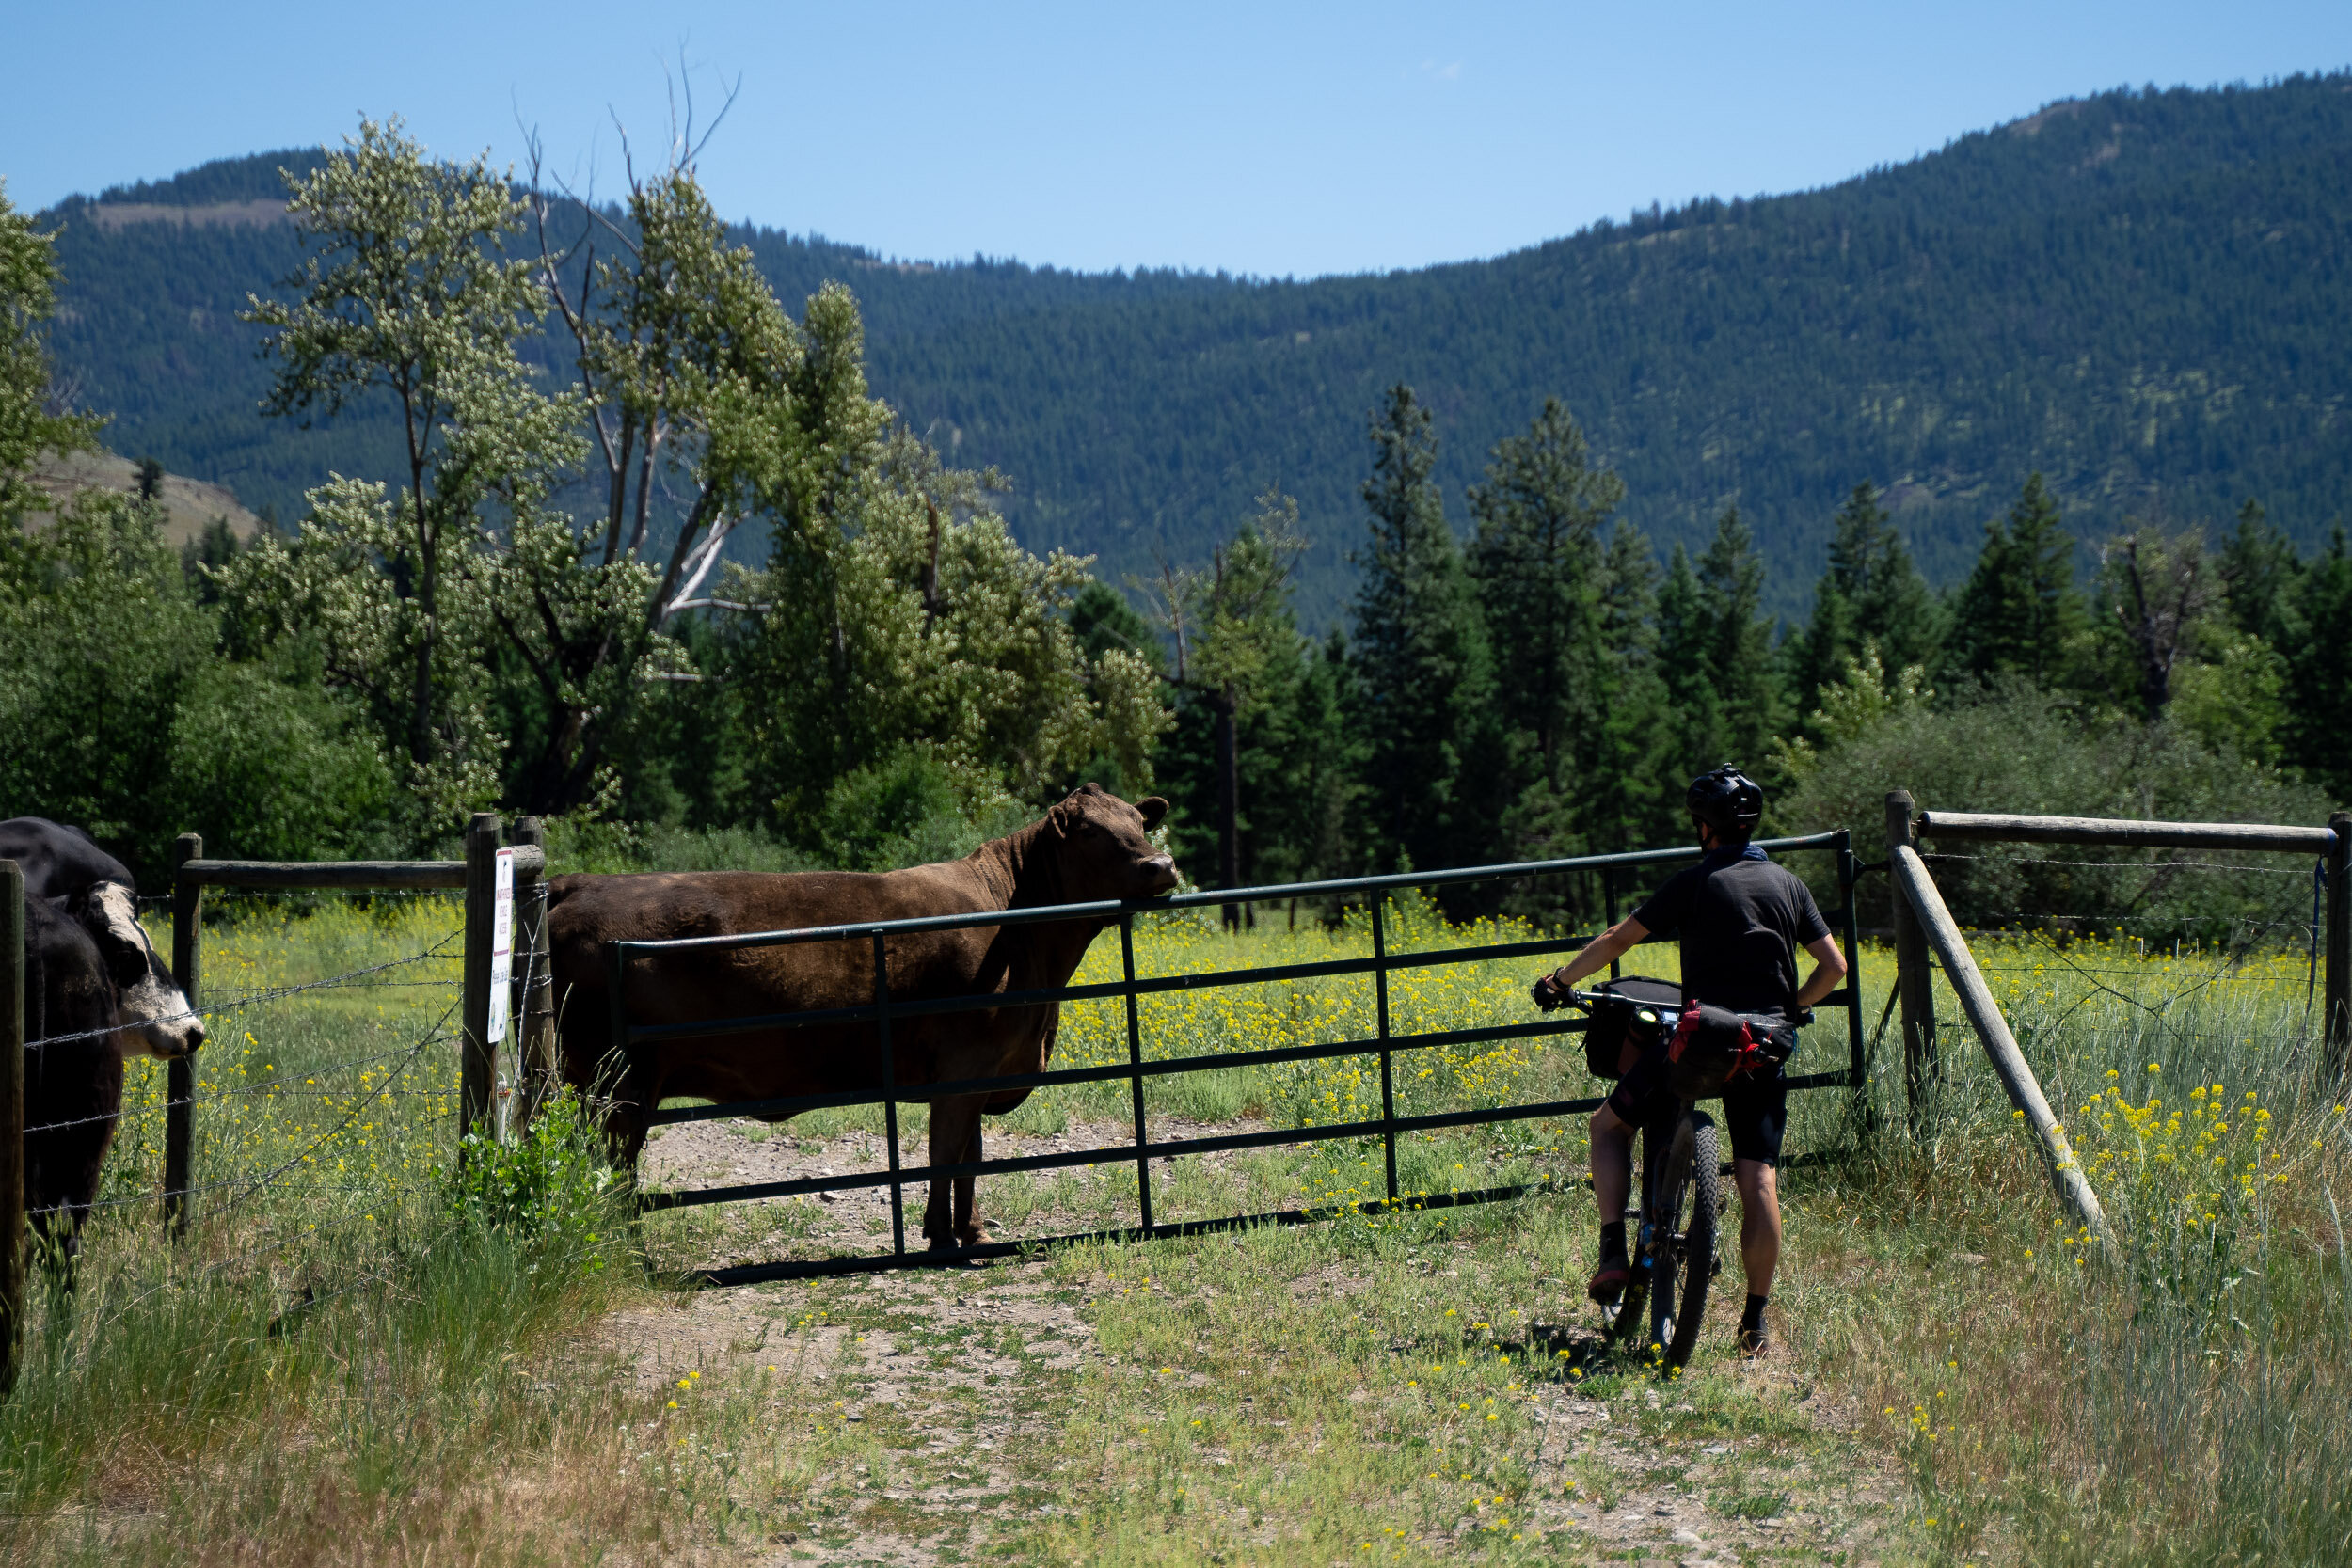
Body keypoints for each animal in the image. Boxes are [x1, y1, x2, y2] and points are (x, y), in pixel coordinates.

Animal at [546, 784, 1176, 1250]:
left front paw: (972, 1232)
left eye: (1139, 822)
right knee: (613, 1170)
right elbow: (944, 1156)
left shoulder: (983, 1070)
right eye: (1091, 830)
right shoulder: (962, 1068)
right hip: (615, 1086)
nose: (1162, 865)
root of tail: (574, 883)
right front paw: (940, 1238)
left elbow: (970, 1158)